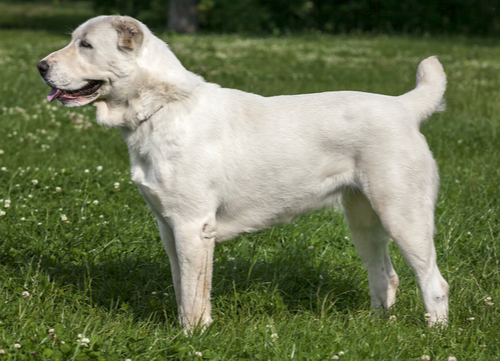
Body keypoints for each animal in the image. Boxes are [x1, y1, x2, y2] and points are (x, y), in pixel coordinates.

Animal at [39, 15, 450, 328]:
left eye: (86, 45)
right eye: (75, 41)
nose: (40, 66)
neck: (162, 107)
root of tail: (403, 107)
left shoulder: (192, 227)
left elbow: (194, 294)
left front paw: (191, 337)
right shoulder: (169, 228)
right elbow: (182, 287)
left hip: (403, 216)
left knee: (434, 282)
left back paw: (434, 334)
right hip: (364, 222)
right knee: (385, 275)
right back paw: (376, 325)